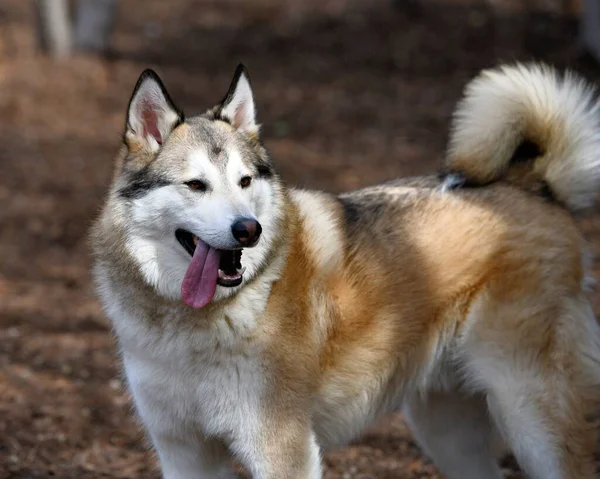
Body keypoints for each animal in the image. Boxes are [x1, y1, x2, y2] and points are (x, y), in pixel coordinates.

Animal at [91, 63, 600, 479]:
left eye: (244, 181)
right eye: (196, 185)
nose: (248, 230)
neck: (192, 323)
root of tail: (535, 186)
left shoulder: (283, 452)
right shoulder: (185, 453)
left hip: (530, 420)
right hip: (445, 429)